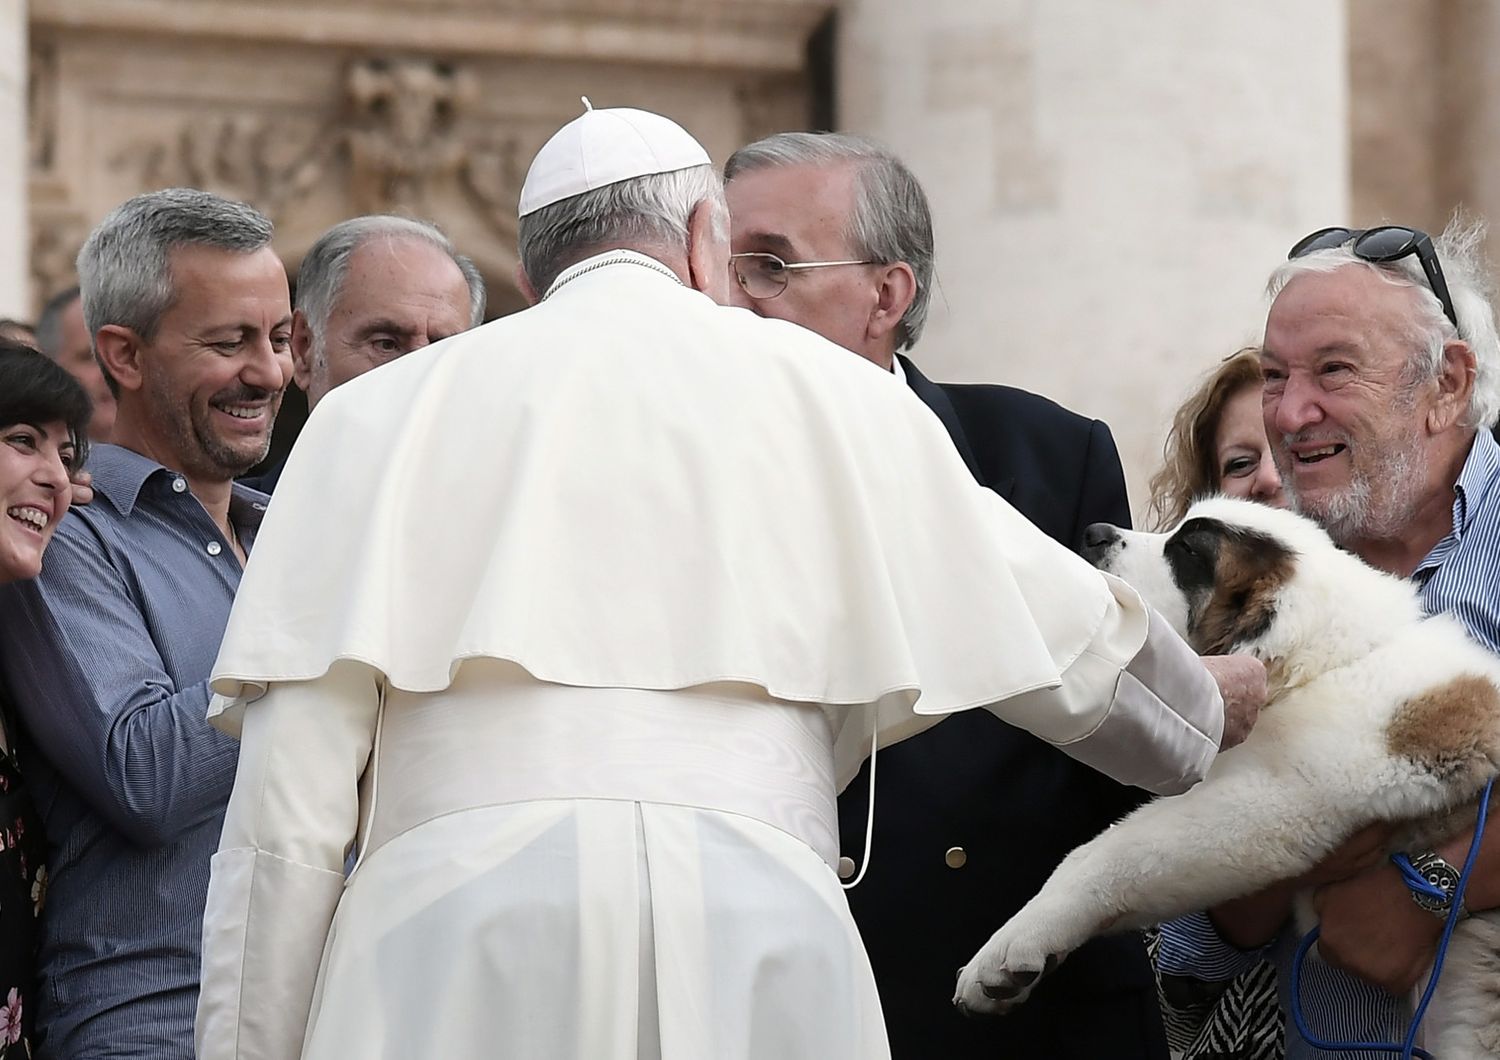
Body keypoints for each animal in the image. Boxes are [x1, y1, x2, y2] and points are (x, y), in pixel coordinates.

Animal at [954, 500, 1500, 1060]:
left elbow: (1106, 856)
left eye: (1188, 552)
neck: (1328, 661)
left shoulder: (1279, 799)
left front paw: (1013, 944)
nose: (1095, 532)